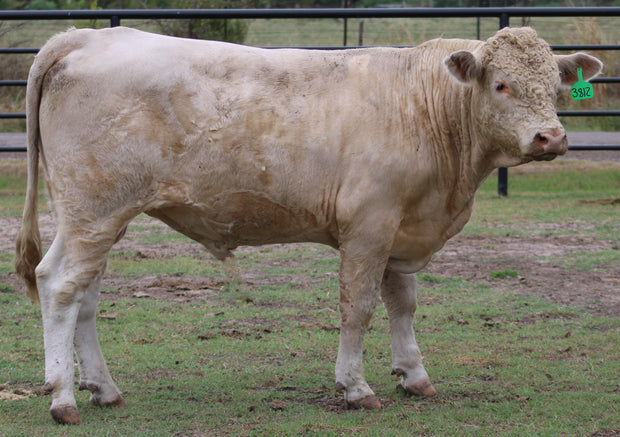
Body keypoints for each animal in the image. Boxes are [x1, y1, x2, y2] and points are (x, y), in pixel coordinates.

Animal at [17, 24, 604, 422]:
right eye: (501, 84)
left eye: (555, 85)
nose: (552, 138)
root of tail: (84, 37)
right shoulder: (368, 226)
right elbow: (358, 306)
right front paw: (356, 387)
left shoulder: (401, 227)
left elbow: (403, 304)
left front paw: (414, 375)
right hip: (93, 210)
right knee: (59, 285)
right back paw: (63, 397)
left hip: (98, 219)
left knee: (84, 295)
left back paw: (103, 387)